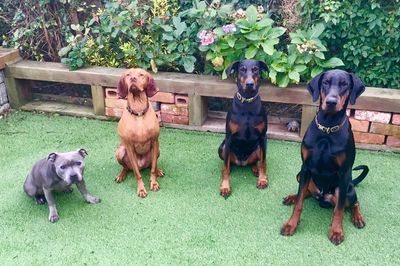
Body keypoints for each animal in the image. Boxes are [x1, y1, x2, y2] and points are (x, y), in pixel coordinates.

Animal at [115, 68, 165, 197]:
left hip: (157, 150)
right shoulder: (129, 147)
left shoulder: (155, 141)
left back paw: (158, 171)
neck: (138, 112)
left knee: (153, 164)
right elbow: (137, 174)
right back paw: (121, 175)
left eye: (141, 74)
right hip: (120, 152)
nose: (133, 78)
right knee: (128, 168)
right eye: (128, 74)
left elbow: (153, 168)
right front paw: (141, 189)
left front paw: (154, 183)